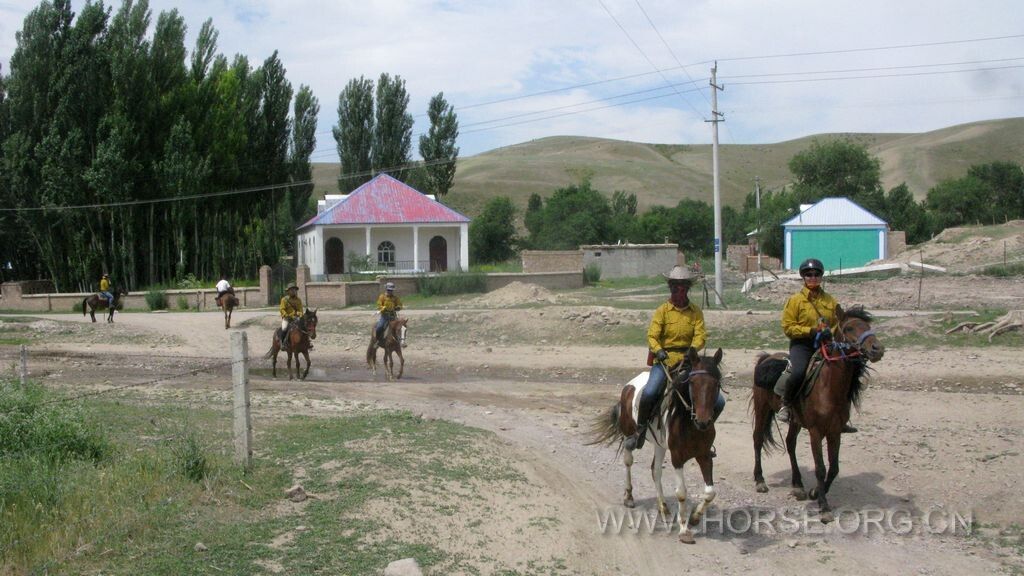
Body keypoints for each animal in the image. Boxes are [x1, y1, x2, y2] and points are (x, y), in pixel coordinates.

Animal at [589, 344, 724, 541]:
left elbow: (710, 492)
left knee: (656, 471)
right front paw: (684, 530)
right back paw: (629, 497)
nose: (703, 422)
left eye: (717, 384)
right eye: (692, 383)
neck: (689, 422)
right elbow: (681, 492)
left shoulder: (704, 455)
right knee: (628, 461)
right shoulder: (677, 457)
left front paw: (695, 517)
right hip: (629, 435)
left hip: (660, 446)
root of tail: (629, 385)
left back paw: (664, 509)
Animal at [749, 303, 884, 522]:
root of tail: (766, 357)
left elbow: (834, 468)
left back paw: (797, 485)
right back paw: (760, 480)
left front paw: (815, 492)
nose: (877, 349)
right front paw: (824, 505)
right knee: (758, 439)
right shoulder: (815, 432)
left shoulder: (835, 432)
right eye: (849, 328)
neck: (828, 387)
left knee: (790, 443)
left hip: (795, 421)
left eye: (868, 326)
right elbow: (820, 468)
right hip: (763, 409)